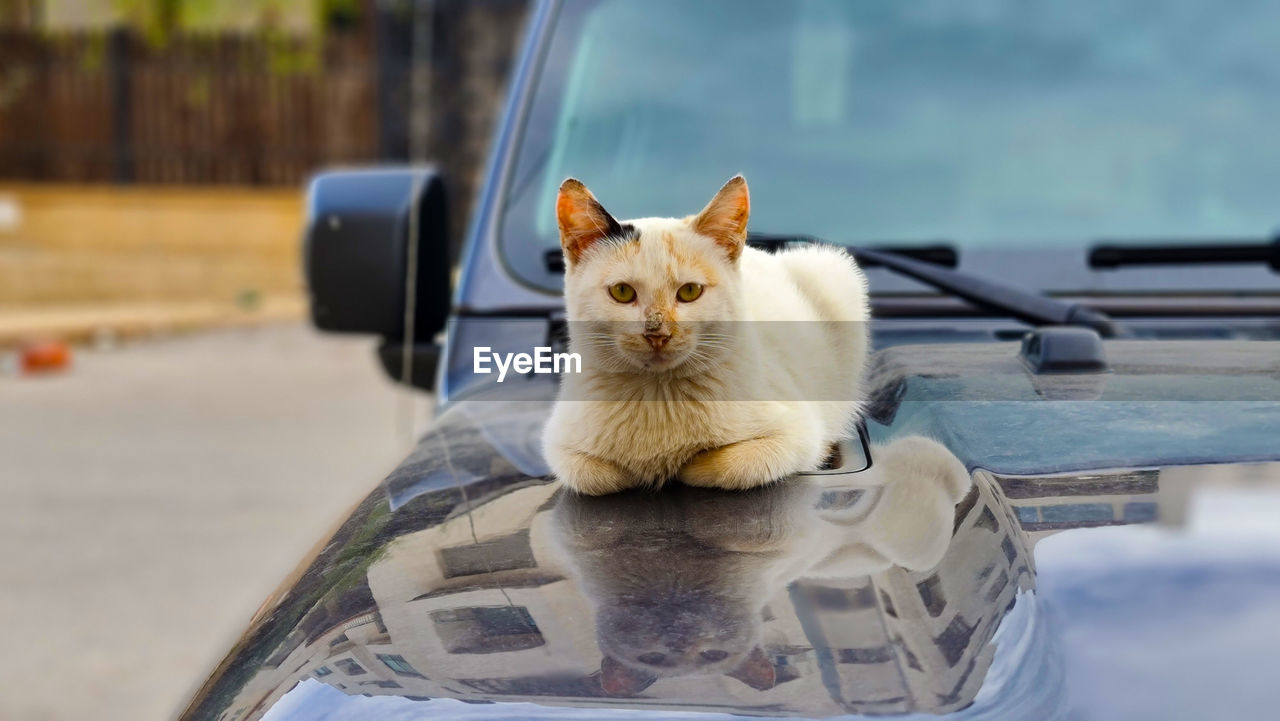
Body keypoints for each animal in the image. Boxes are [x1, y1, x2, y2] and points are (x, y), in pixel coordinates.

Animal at [540, 175, 870, 496]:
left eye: (690, 291)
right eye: (622, 292)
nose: (658, 334)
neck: (658, 396)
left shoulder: (796, 432)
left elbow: (732, 465)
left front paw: (683, 465)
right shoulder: (560, 444)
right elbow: (596, 475)